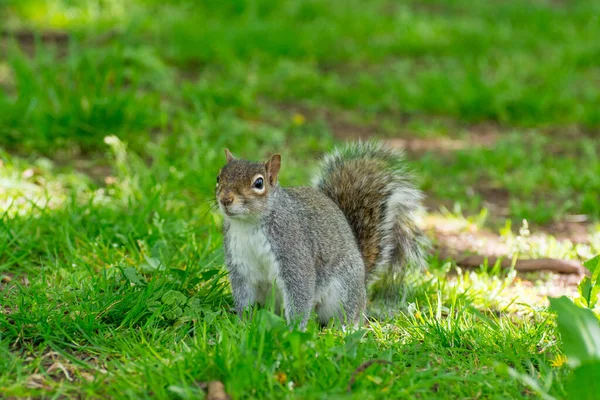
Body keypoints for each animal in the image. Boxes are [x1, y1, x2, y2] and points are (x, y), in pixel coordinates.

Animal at [216, 141, 426, 328]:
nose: (225, 199)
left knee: (347, 316)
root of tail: (363, 282)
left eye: (259, 183)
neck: (249, 225)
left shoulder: (294, 252)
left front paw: (294, 330)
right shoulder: (240, 264)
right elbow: (243, 295)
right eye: (218, 177)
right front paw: (243, 322)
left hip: (343, 292)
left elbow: (300, 292)